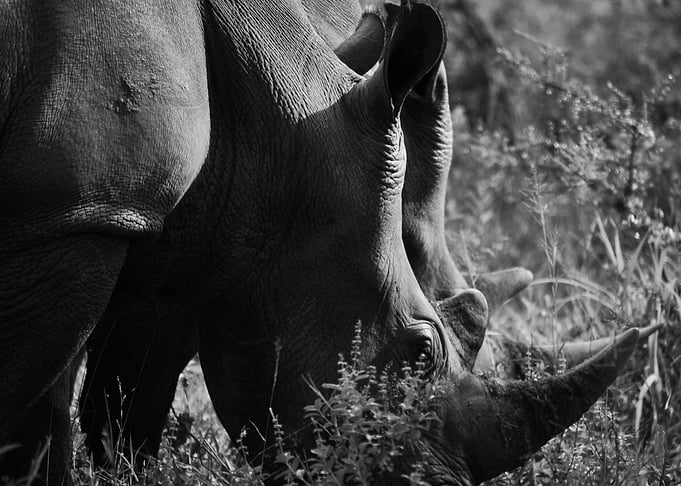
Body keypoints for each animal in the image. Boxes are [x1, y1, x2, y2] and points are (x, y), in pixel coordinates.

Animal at [0, 1, 641, 485]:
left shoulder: (130, 228)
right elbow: (41, 406)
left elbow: (80, 408)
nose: (439, 482)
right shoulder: (84, 214)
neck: (270, 133)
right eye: (419, 351)